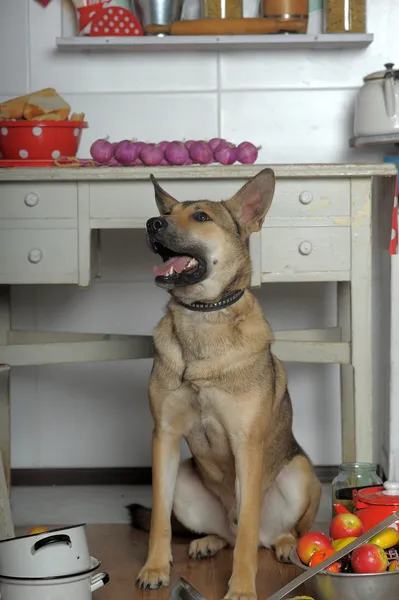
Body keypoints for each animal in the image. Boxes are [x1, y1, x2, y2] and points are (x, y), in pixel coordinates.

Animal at [131, 169, 322, 600]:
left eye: (201, 216)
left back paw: (285, 545)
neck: (202, 316)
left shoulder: (245, 444)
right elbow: (159, 521)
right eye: (166, 212)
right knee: (228, 536)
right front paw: (155, 567)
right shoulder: (163, 437)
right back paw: (208, 541)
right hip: (184, 480)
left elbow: (249, 531)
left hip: (299, 473)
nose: (152, 223)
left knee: (264, 534)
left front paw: (242, 589)